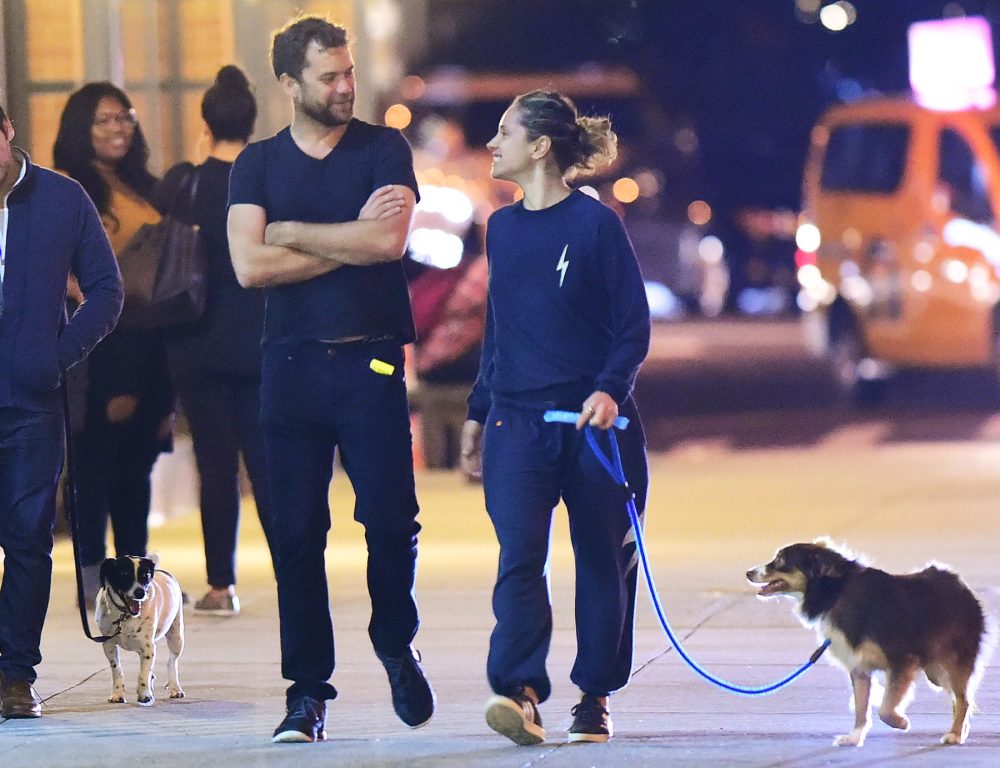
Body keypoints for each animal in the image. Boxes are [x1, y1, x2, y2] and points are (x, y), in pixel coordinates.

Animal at [748, 536, 988, 748]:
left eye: (780, 560)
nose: (748, 572)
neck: (835, 592)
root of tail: (960, 584)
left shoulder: (901, 660)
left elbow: (885, 708)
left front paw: (901, 722)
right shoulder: (859, 666)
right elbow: (861, 707)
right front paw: (854, 738)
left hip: (951, 661)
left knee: (963, 700)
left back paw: (955, 734)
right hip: (936, 671)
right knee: (958, 700)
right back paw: (961, 731)